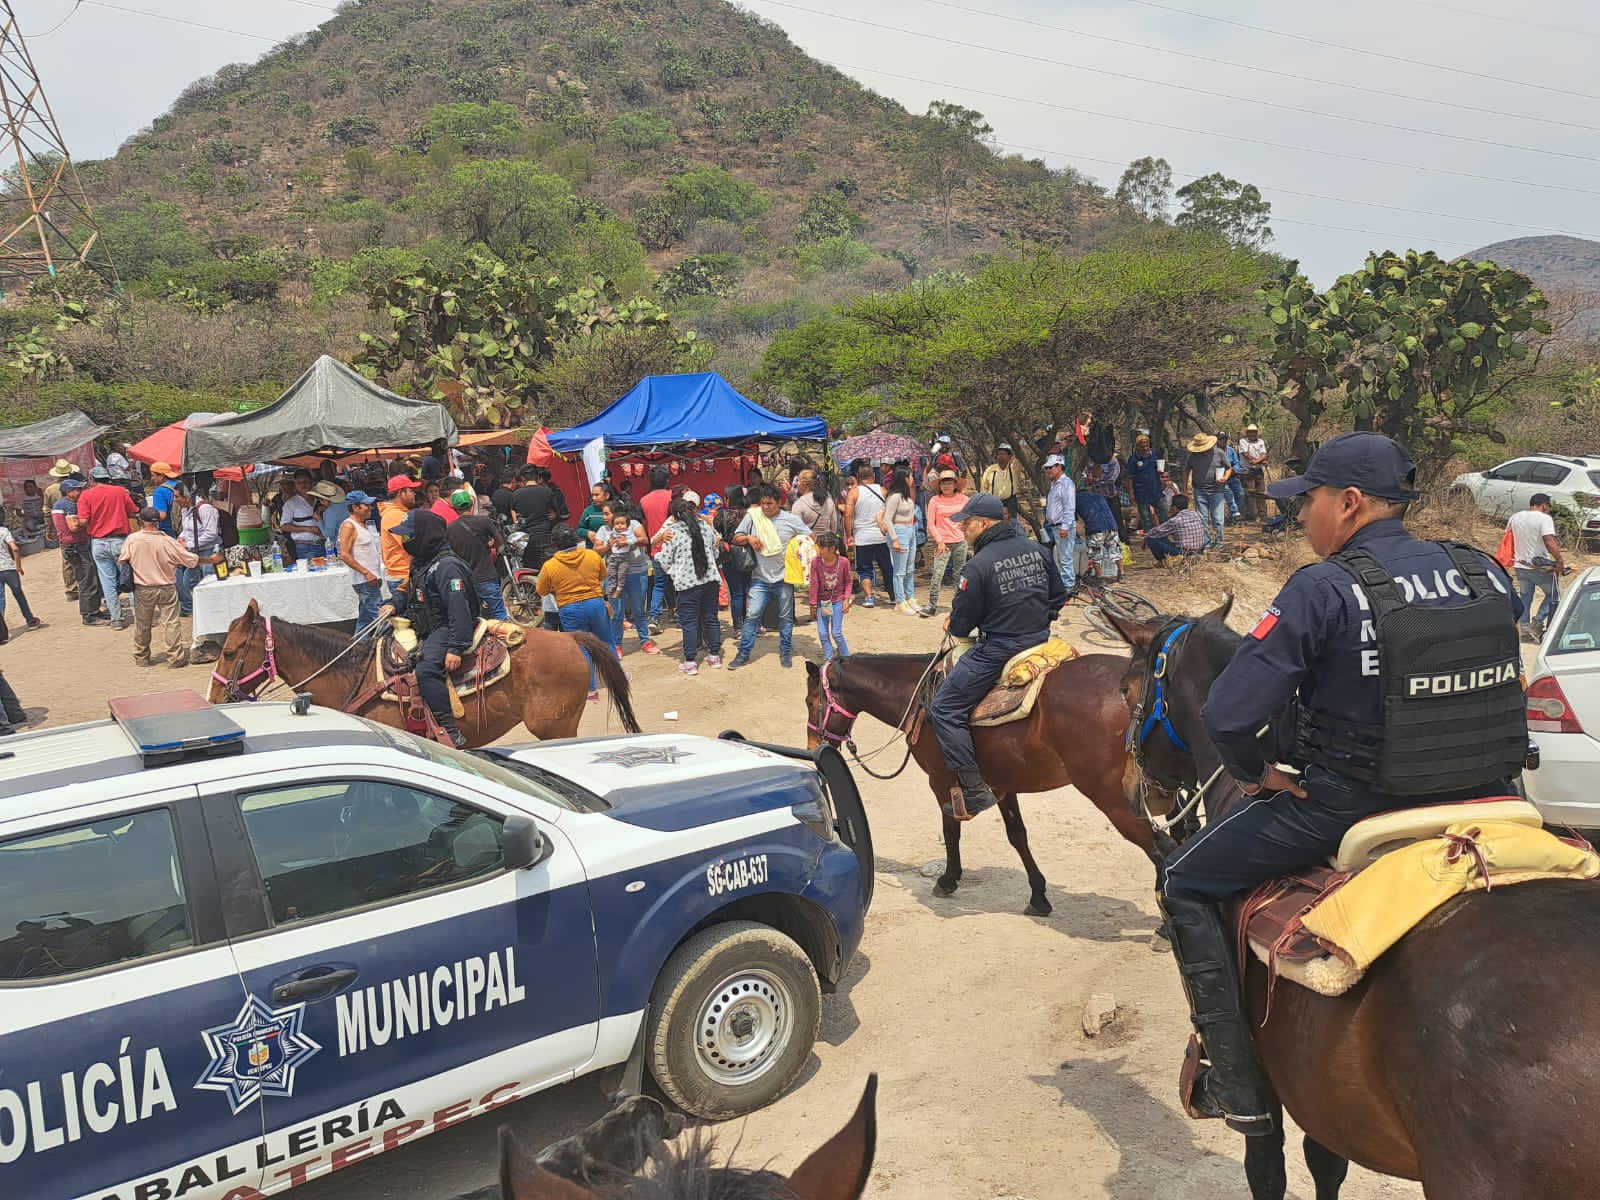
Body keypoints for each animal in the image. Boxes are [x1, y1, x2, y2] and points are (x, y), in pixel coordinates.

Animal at [806, 652, 1158, 915]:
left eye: (811, 702)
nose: (812, 746)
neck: (919, 698)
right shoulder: (1002, 783)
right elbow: (1017, 836)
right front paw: (1038, 895)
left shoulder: (942, 781)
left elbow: (951, 831)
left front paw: (948, 880)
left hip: (1115, 798)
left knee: (1158, 845)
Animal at [1113, 604, 1600, 1196]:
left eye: (1126, 688)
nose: (1134, 788)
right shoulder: (1323, 1096)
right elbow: (1327, 1165)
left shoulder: (1271, 1096)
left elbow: (1266, 1170)